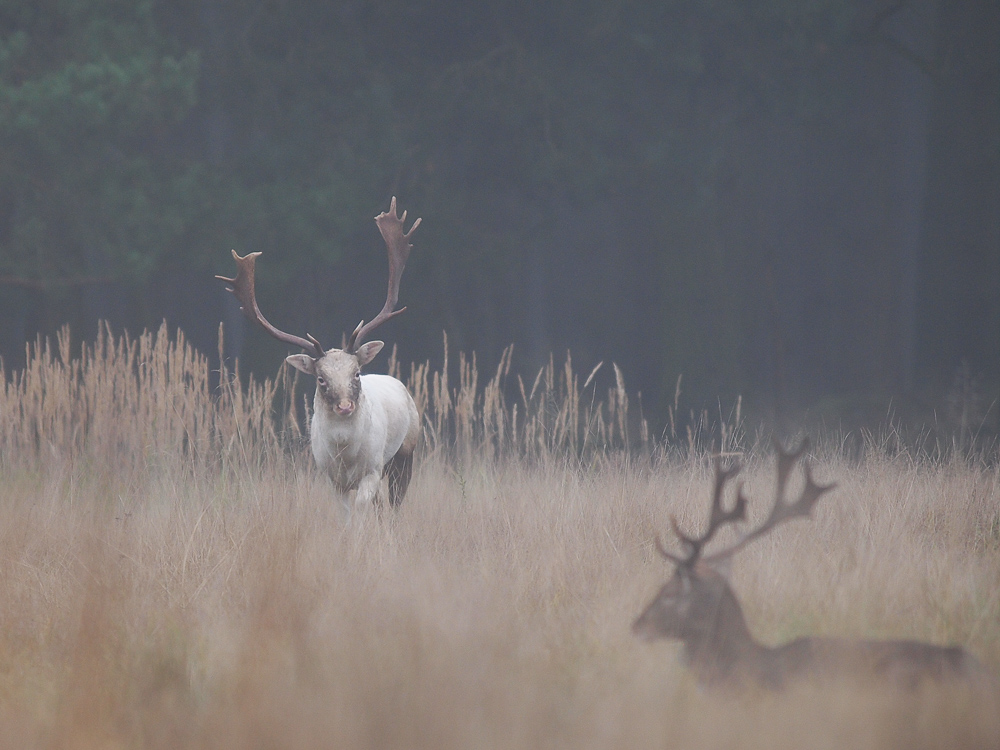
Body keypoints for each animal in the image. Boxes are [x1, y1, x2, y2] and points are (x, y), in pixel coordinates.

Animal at [217, 197, 420, 520]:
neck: (346, 456)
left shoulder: (372, 469)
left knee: (394, 503)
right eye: (321, 379)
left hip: (404, 452)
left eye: (356, 373)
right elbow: (346, 514)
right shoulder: (330, 477)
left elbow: (362, 508)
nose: (345, 406)